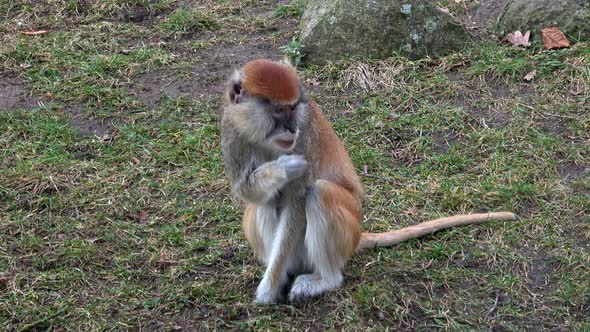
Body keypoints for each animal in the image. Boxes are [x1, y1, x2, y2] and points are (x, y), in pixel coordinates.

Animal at [222, 59, 520, 304]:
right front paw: (281, 170)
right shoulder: (232, 131)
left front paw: (268, 291)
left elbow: (297, 200)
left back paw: (325, 279)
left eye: (293, 109)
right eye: (278, 111)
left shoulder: (304, 138)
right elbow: (245, 188)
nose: (291, 129)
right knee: (265, 202)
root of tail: (358, 236)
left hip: (347, 229)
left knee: (320, 193)